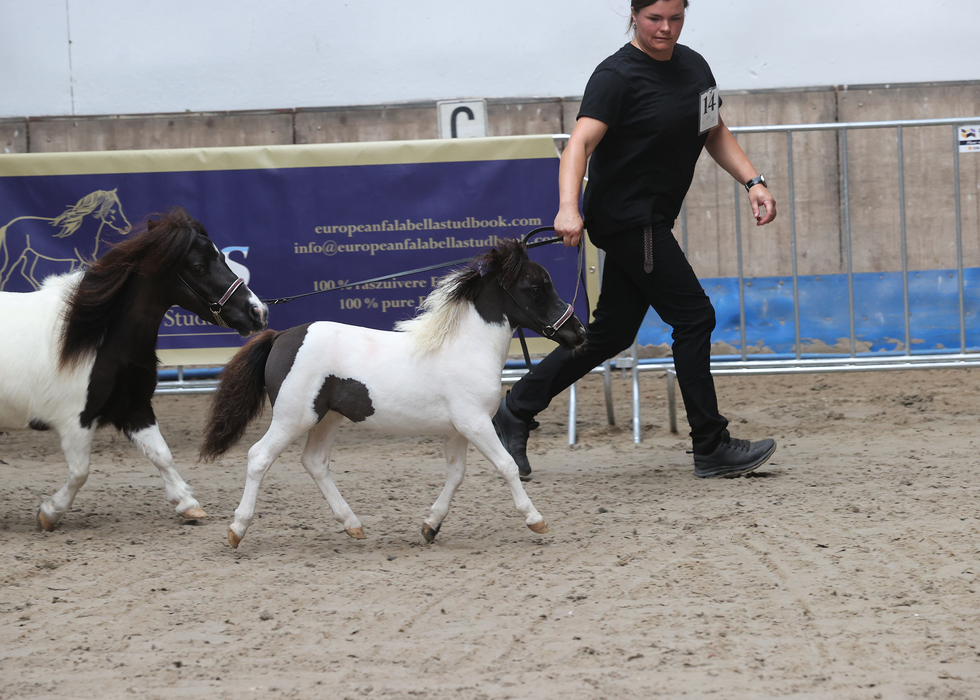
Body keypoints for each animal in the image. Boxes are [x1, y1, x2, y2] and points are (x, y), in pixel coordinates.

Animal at [0, 189, 131, 291]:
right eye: (113, 210)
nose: (127, 228)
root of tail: (8, 226)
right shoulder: (81, 259)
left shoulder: (76, 260)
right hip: (15, 255)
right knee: (5, 274)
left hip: (32, 254)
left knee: (26, 272)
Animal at [0, 206, 269, 531]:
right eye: (199, 267)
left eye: (223, 257)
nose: (257, 311)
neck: (94, 336)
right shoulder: (76, 420)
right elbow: (80, 472)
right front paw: (49, 513)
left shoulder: (135, 409)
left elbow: (162, 454)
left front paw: (188, 505)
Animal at [200, 238, 587, 548]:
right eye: (535, 288)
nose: (578, 333)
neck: (466, 347)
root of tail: (280, 337)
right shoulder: (475, 422)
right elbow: (506, 465)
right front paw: (536, 520)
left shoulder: (457, 429)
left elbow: (456, 475)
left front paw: (430, 527)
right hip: (292, 418)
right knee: (258, 456)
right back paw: (237, 530)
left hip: (327, 418)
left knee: (315, 462)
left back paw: (353, 526)